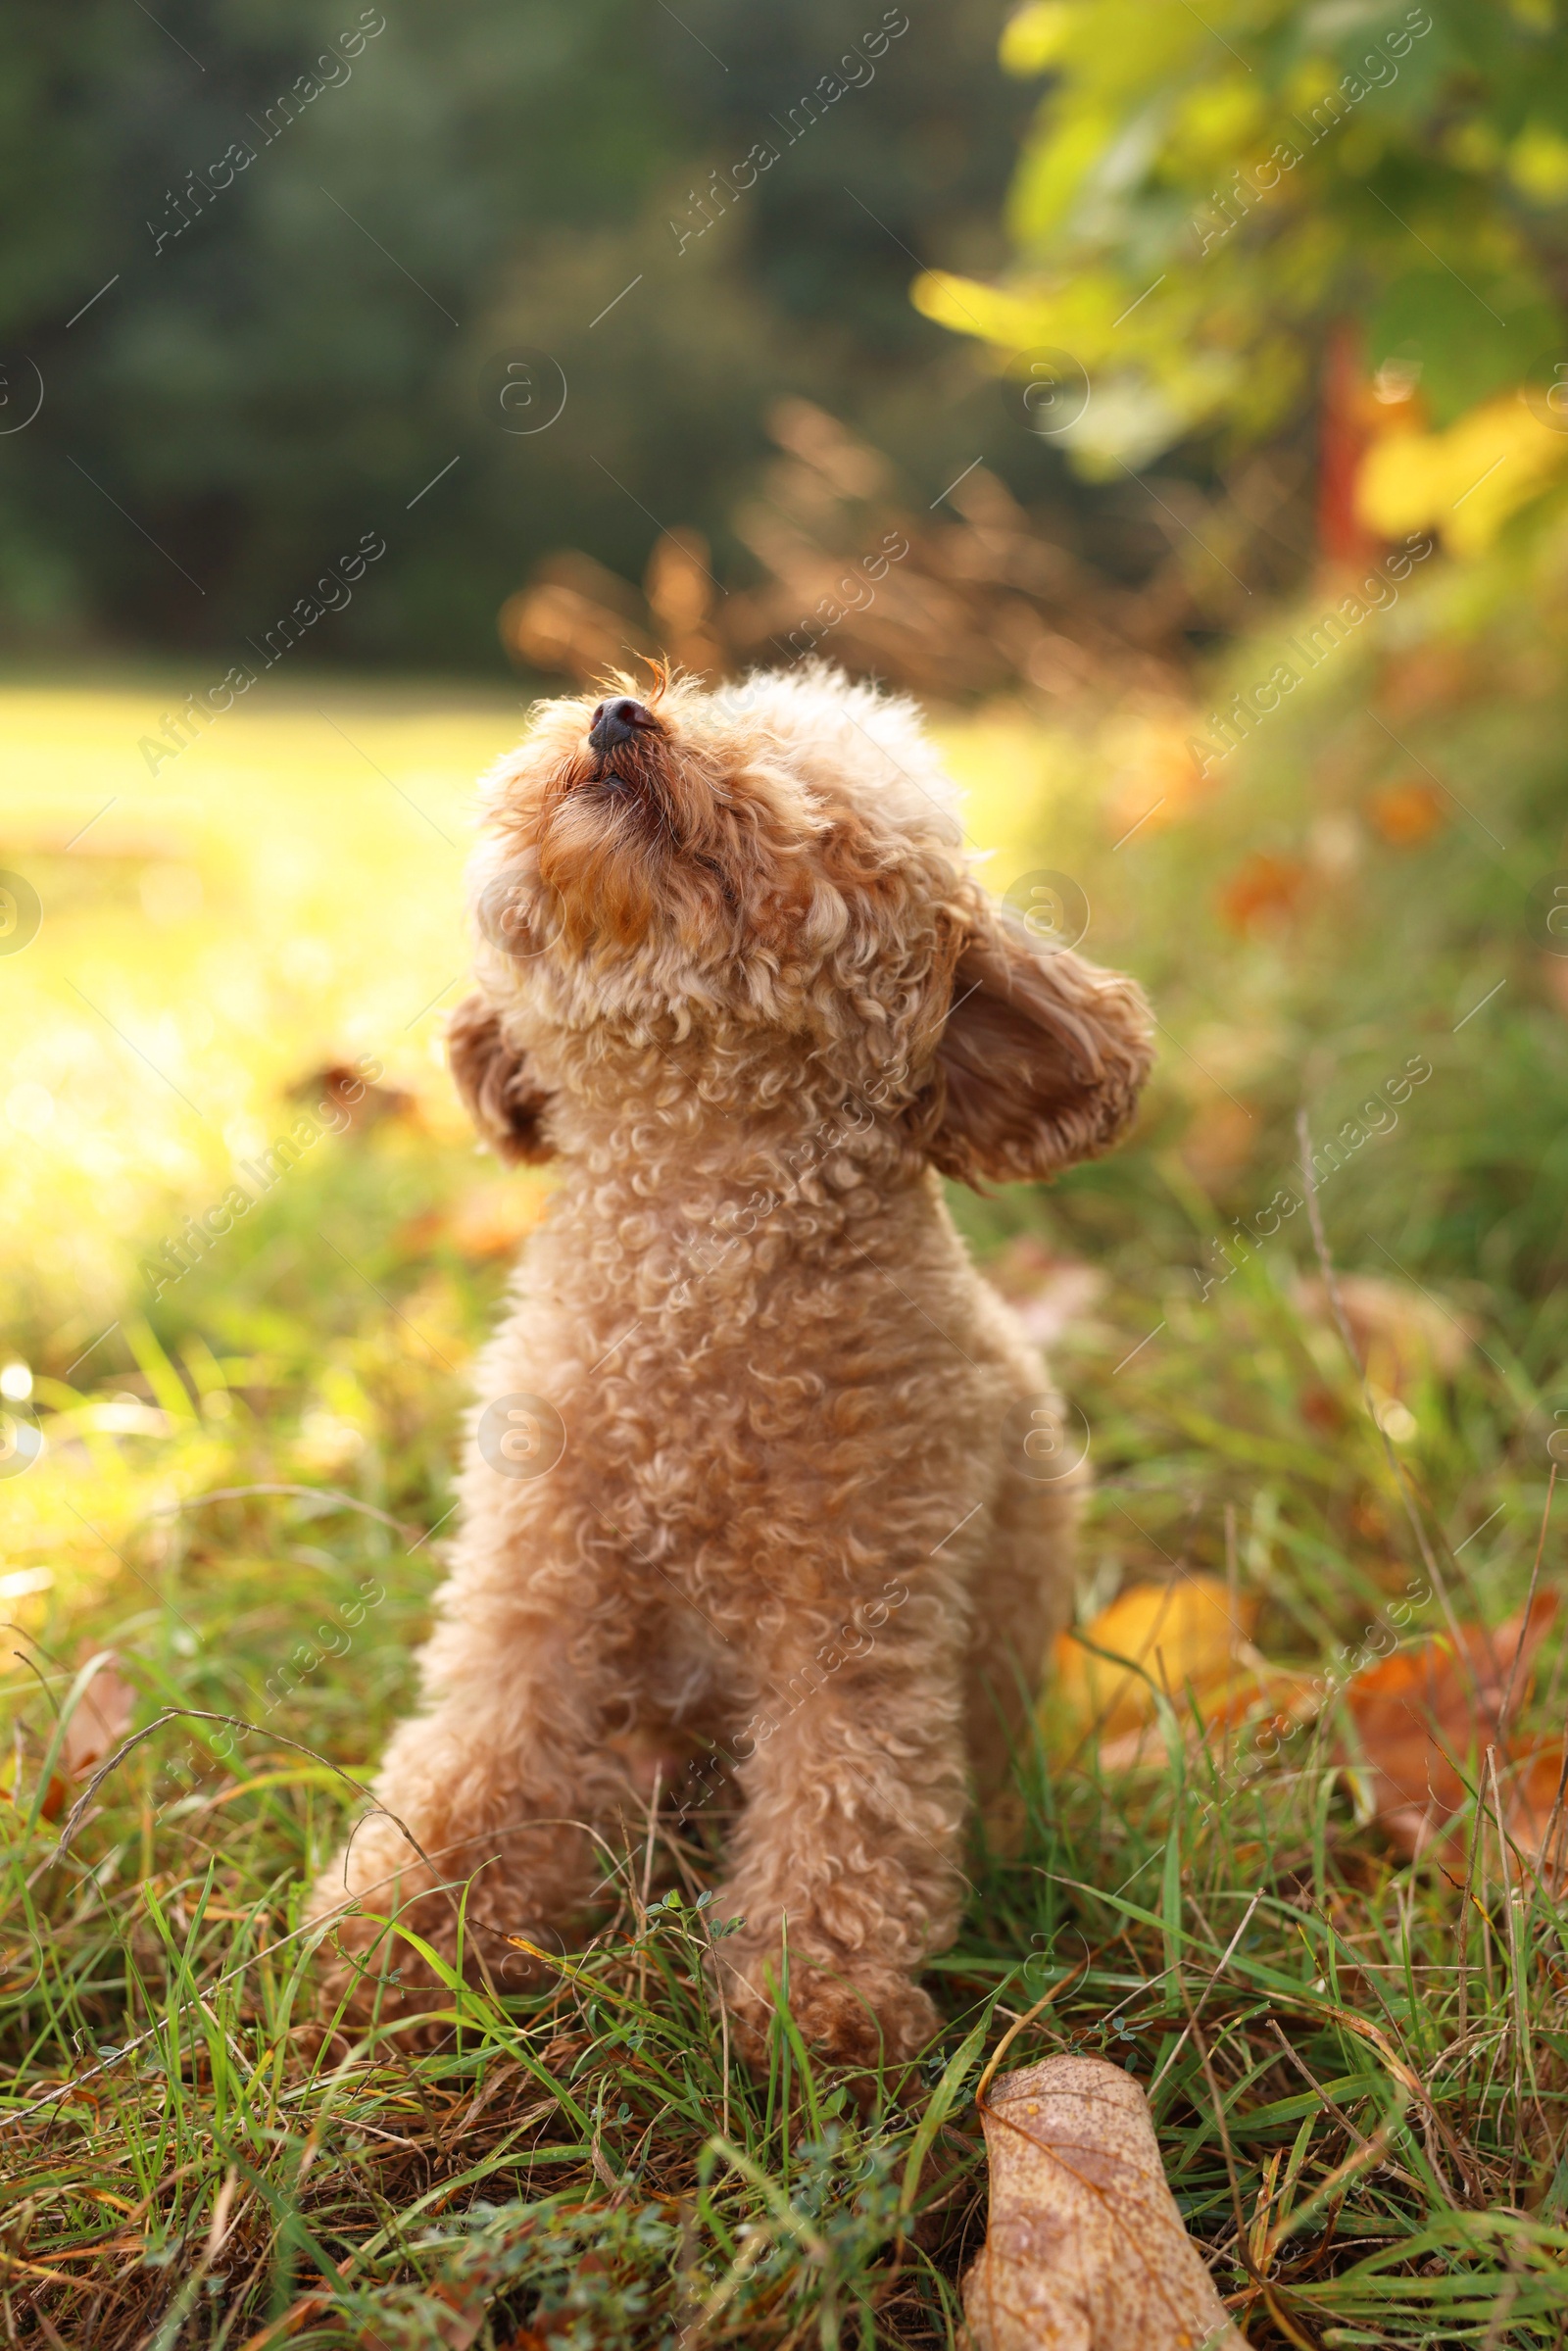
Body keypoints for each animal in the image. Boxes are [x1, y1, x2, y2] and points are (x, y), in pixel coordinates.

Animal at [310, 662, 1152, 2059]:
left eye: (808, 791)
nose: (617, 717)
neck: (691, 1263)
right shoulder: (535, 1588)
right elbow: (480, 1758)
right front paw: (397, 1935)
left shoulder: (867, 1605)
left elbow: (847, 1796)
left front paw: (817, 2005)